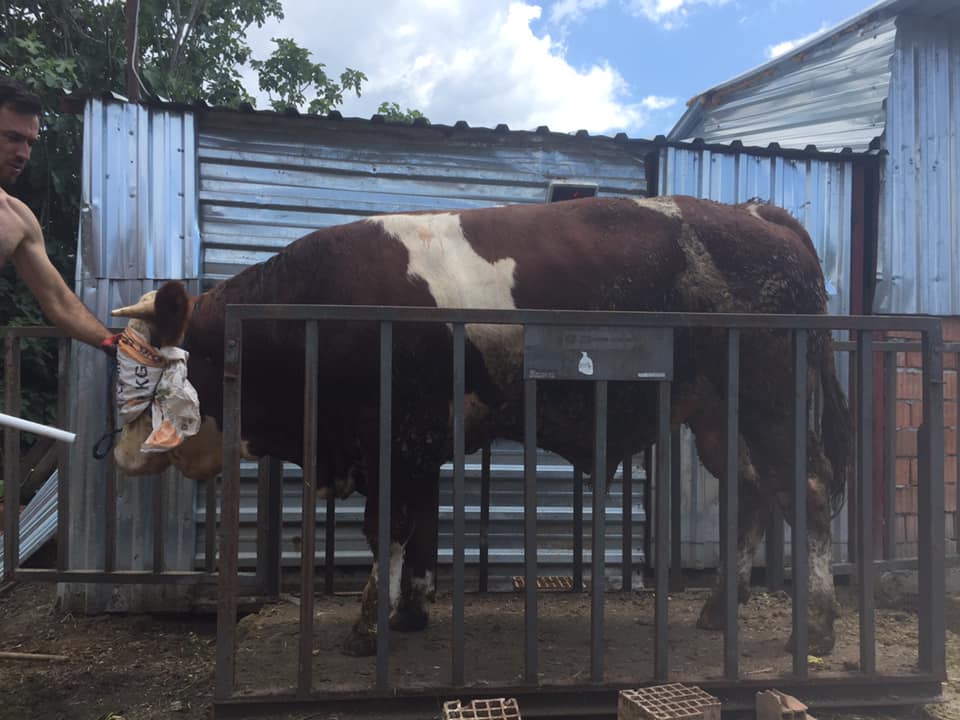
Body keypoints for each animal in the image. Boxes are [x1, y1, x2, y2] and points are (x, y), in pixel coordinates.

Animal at [110, 195, 851, 657]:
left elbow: (387, 526)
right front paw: (410, 611)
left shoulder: (393, 433)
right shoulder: (417, 443)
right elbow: (418, 524)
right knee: (755, 491)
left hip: (769, 400)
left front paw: (369, 625)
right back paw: (718, 609)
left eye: (148, 376)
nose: (118, 454)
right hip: (719, 417)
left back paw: (816, 629)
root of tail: (758, 214)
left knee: (809, 489)